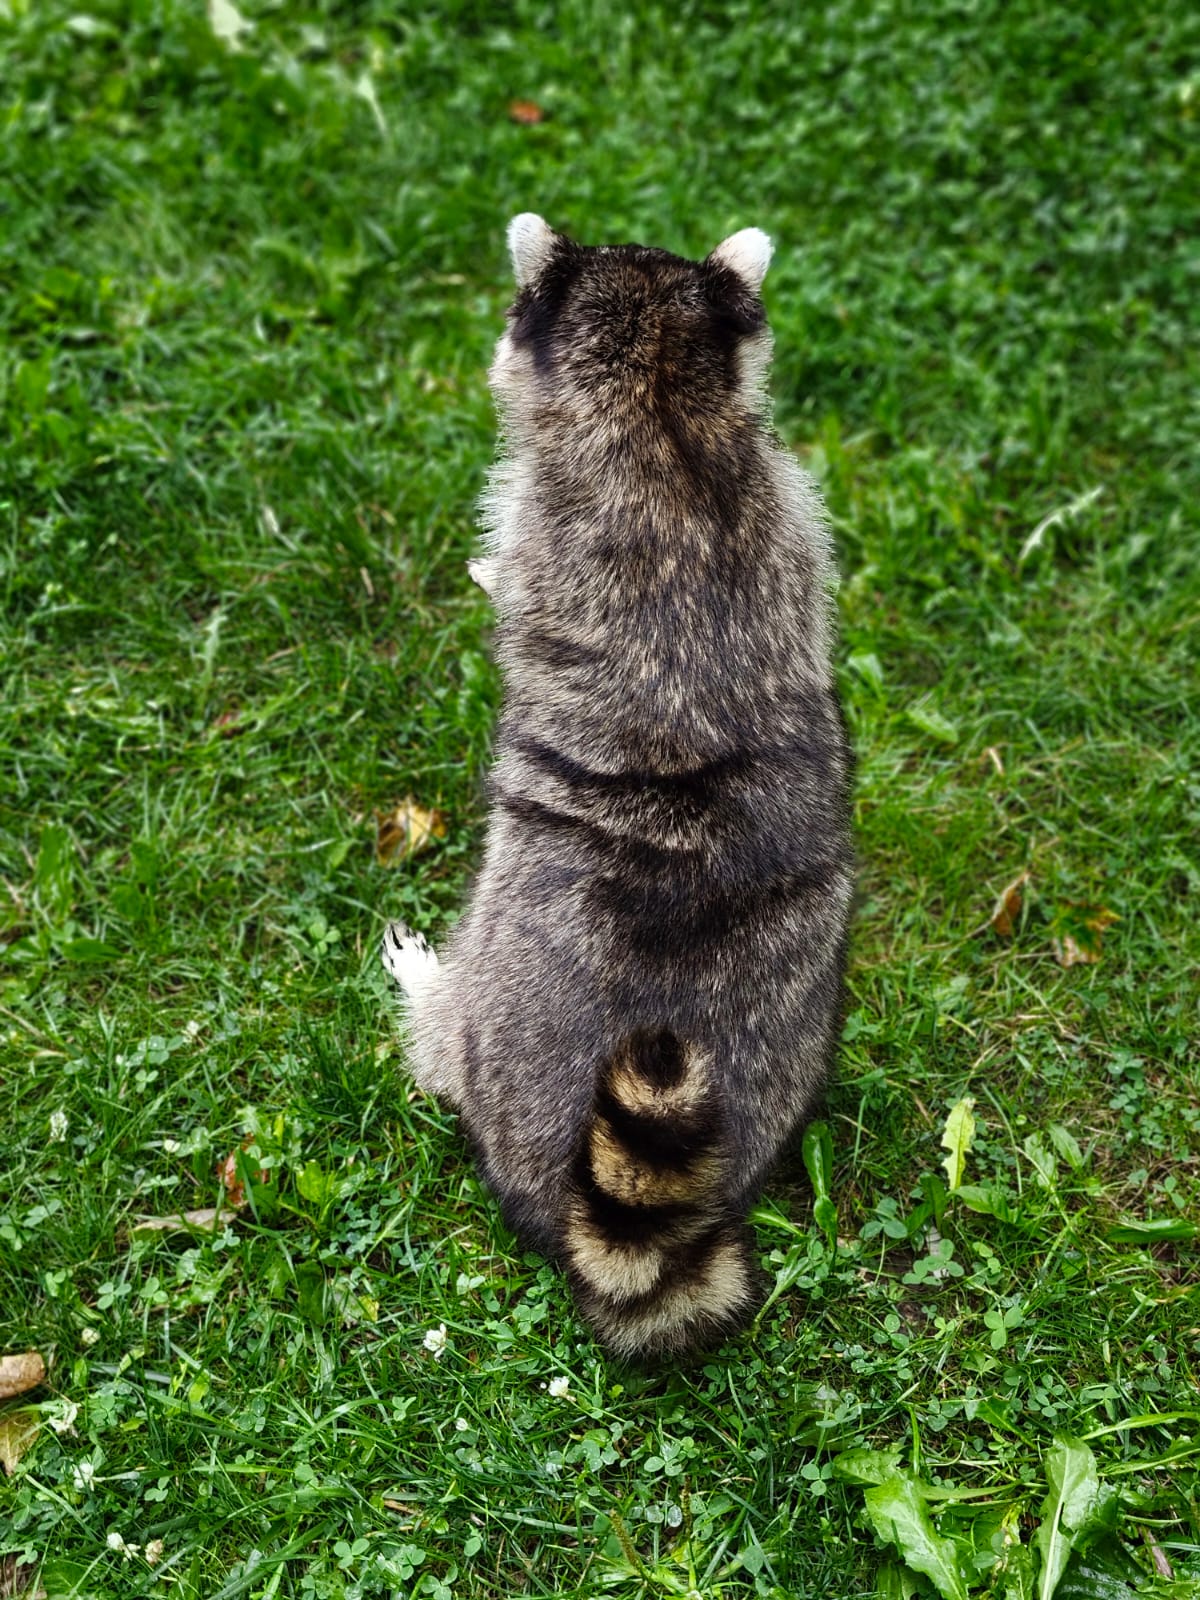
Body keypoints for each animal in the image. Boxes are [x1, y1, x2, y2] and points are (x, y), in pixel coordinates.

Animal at [382, 215, 854, 1360]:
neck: (663, 401)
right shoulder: (792, 512)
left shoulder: (543, 517)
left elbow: (509, 568)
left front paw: (481, 580)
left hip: (496, 1000)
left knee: (453, 1039)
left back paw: (425, 996)